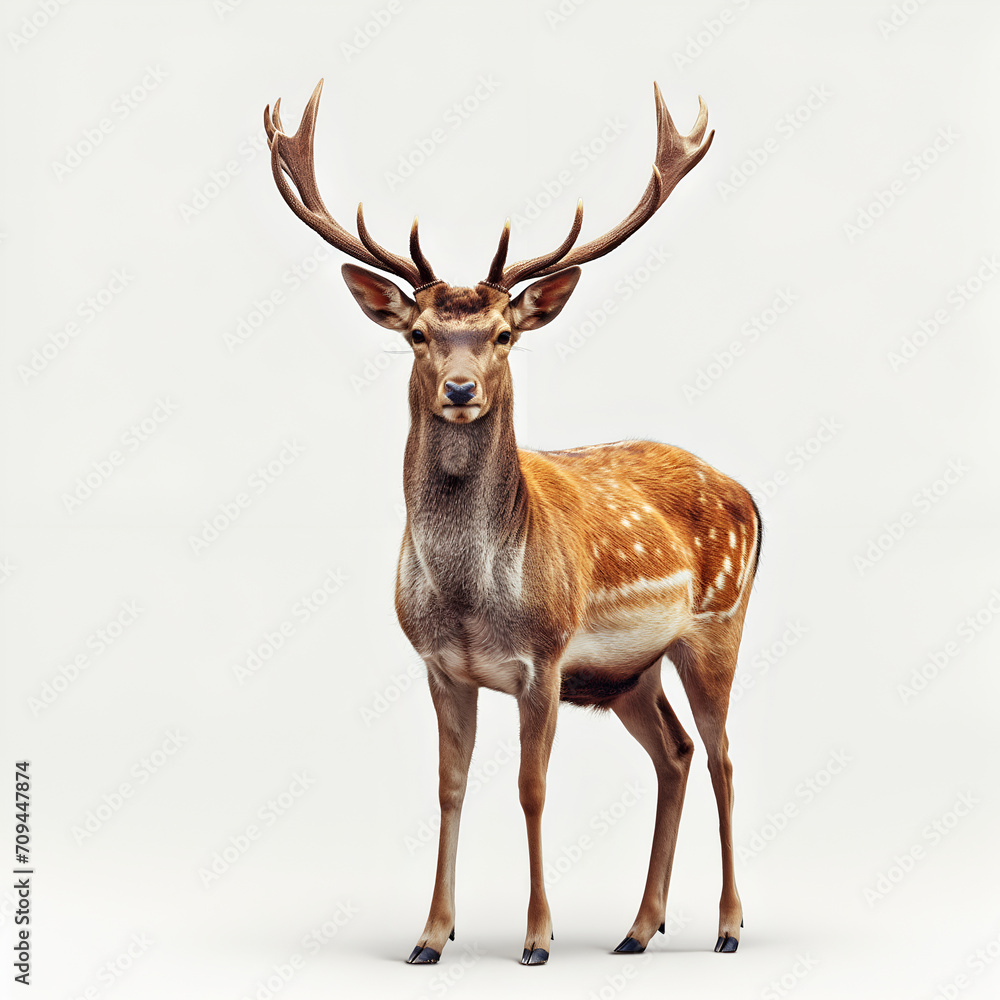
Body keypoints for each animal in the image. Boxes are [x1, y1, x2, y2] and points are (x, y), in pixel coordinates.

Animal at [264, 79, 761, 966]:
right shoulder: (438, 665)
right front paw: (431, 937)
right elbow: (449, 786)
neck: (473, 599)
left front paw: (536, 938)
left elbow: (532, 788)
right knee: (675, 754)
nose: (460, 388)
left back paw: (730, 926)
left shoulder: (546, 657)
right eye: (419, 333)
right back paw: (639, 928)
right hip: (632, 672)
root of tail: (751, 496)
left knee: (725, 756)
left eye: (502, 334)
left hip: (717, 626)